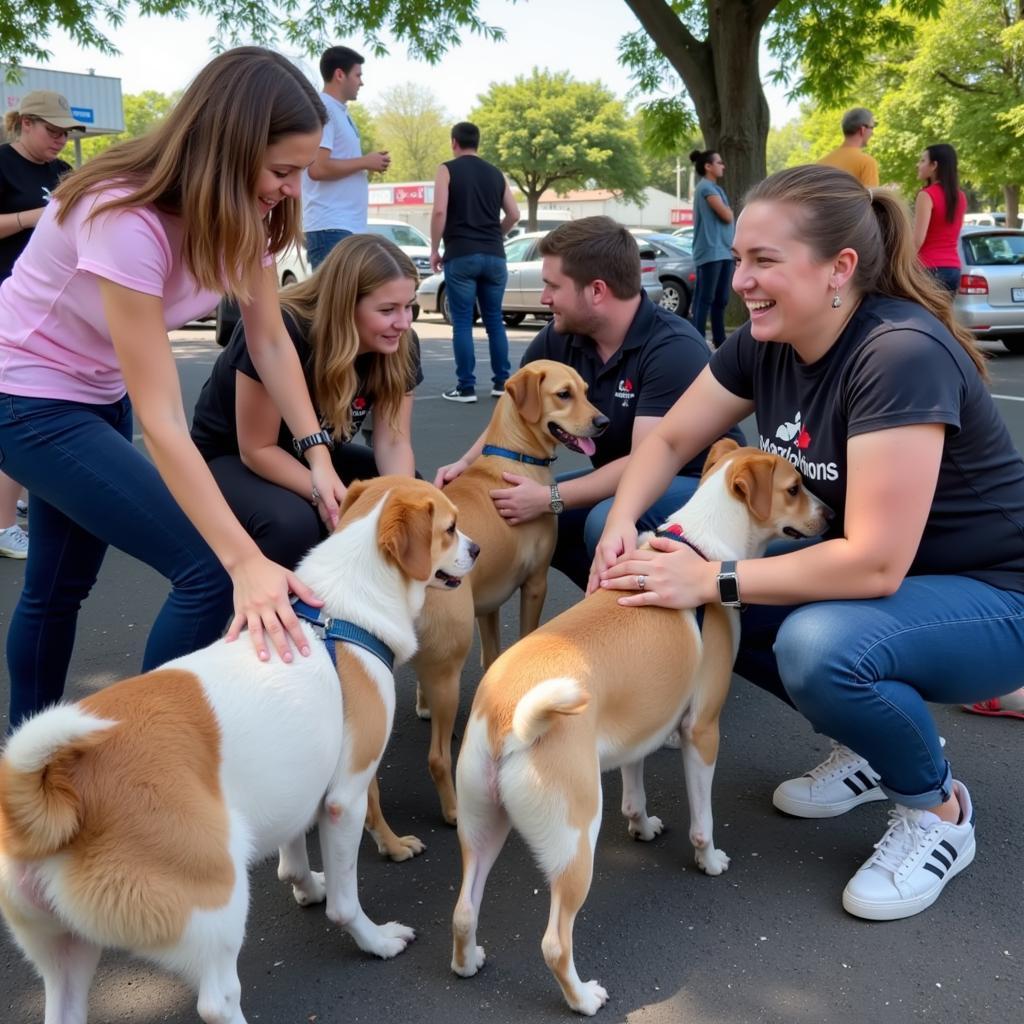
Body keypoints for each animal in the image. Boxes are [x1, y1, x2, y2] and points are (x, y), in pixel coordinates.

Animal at [0, 475, 479, 1024]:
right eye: (451, 527)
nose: (477, 549)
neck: (337, 614)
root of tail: (54, 788)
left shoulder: (297, 784)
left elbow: (292, 857)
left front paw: (306, 887)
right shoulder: (345, 798)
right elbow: (344, 903)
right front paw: (373, 939)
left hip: (65, 953)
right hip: (217, 904)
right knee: (217, 1001)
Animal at [405, 358, 602, 823]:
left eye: (586, 391)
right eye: (564, 394)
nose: (602, 422)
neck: (513, 457)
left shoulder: (487, 605)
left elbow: (493, 653)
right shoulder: (535, 585)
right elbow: (526, 635)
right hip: (449, 670)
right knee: (437, 758)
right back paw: (453, 811)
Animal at [450, 440, 831, 1015]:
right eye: (793, 488)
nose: (830, 515)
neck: (698, 551)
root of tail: (506, 714)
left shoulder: (636, 731)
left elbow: (634, 788)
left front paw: (642, 825)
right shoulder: (702, 732)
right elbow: (703, 821)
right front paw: (709, 860)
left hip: (482, 824)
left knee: (464, 910)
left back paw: (468, 960)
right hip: (575, 840)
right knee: (555, 942)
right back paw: (583, 998)